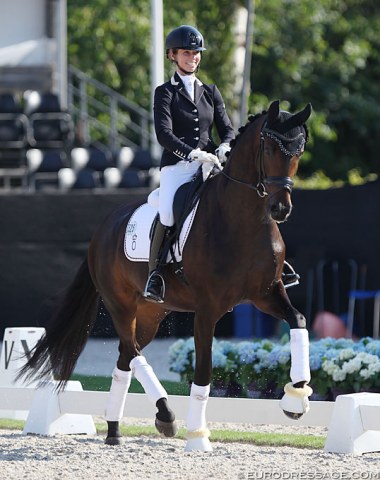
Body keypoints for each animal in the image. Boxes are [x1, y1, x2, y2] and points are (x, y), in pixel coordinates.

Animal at [18, 99, 312, 452]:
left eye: (299, 151)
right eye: (268, 148)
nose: (281, 209)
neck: (246, 220)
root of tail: (102, 229)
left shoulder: (266, 293)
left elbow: (298, 320)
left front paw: (296, 398)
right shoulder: (208, 309)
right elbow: (203, 371)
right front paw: (198, 436)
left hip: (151, 312)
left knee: (126, 357)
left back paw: (115, 429)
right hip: (120, 305)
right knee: (132, 350)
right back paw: (165, 414)